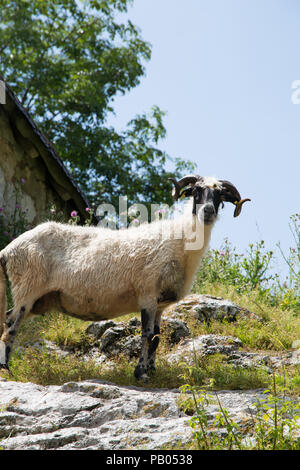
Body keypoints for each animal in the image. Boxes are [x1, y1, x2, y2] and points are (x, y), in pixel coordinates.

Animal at [0, 174, 250, 380]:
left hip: (39, 299)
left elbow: (157, 338)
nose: (207, 211)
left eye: (220, 196)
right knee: (11, 325)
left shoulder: (160, 304)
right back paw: (6, 369)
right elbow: (146, 335)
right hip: (27, 286)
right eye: (196, 191)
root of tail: (8, 250)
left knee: (8, 316)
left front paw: (152, 371)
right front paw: (140, 373)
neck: (181, 242)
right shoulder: (147, 294)